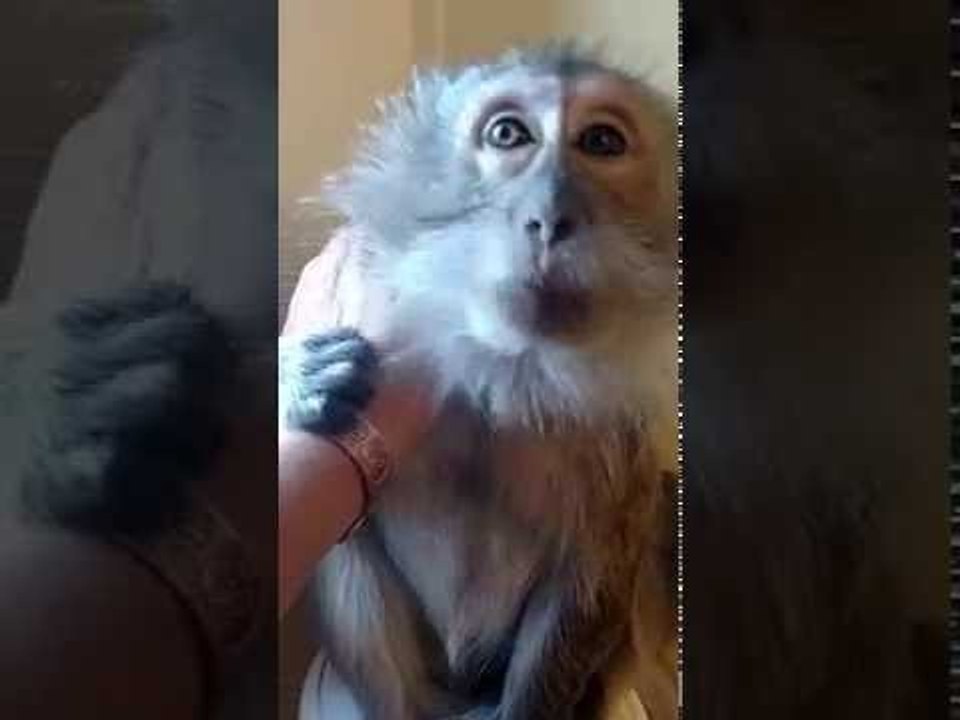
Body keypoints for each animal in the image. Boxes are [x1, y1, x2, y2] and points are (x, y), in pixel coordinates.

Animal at [280, 44, 679, 720]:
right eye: (508, 135)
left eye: (601, 141)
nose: (550, 216)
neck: (509, 372)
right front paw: (296, 377)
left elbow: (592, 573)